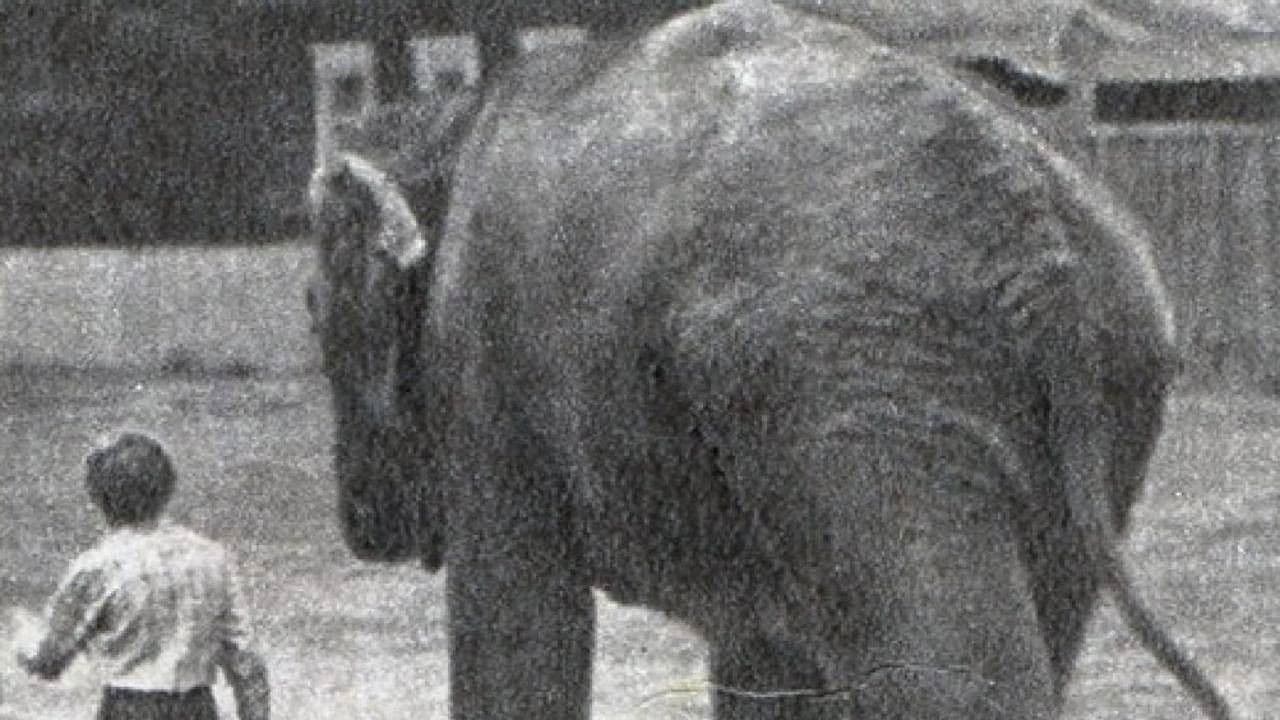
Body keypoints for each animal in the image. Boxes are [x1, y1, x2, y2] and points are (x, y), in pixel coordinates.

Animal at [304, 2, 1236, 718]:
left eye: (314, 316)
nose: (360, 524)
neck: (445, 124)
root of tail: (1033, 228)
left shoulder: (485, 367)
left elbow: (518, 621)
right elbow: (766, 655)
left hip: (856, 373)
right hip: (1101, 370)